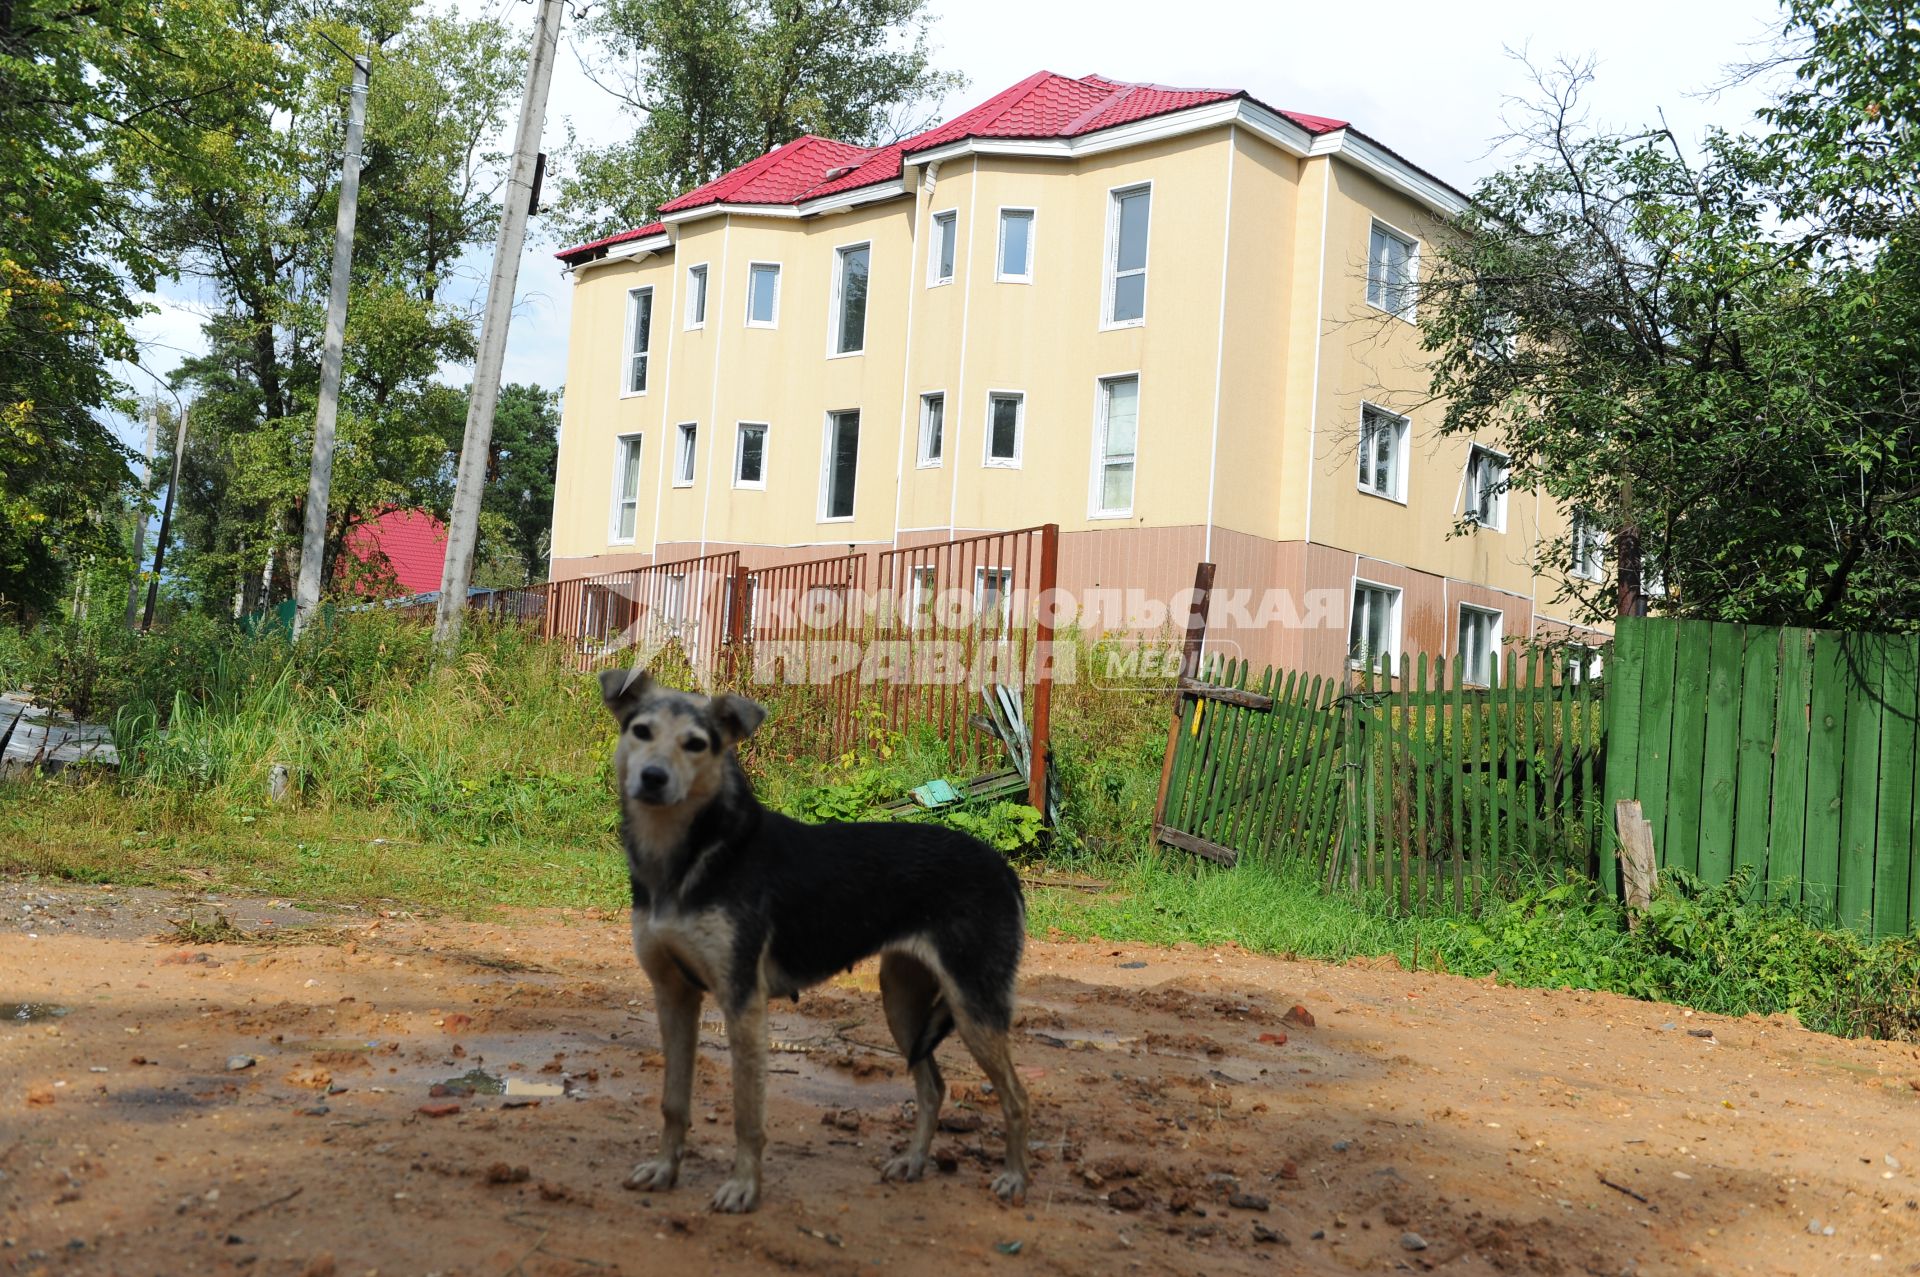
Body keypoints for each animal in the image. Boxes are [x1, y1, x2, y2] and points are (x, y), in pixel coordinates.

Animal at [599, 668, 1029, 1213]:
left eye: (696, 744)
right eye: (641, 732)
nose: (653, 778)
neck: (686, 859)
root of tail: (1003, 867)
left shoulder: (743, 1002)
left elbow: (747, 1112)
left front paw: (743, 1188)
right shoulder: (673, 995)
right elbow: (673, 1100)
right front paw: (663, 1170)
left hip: (973, 1006)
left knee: (1016, 1097)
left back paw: (1014, 1179)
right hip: (902, 1001)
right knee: (932, 1086)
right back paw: (913, 1163)